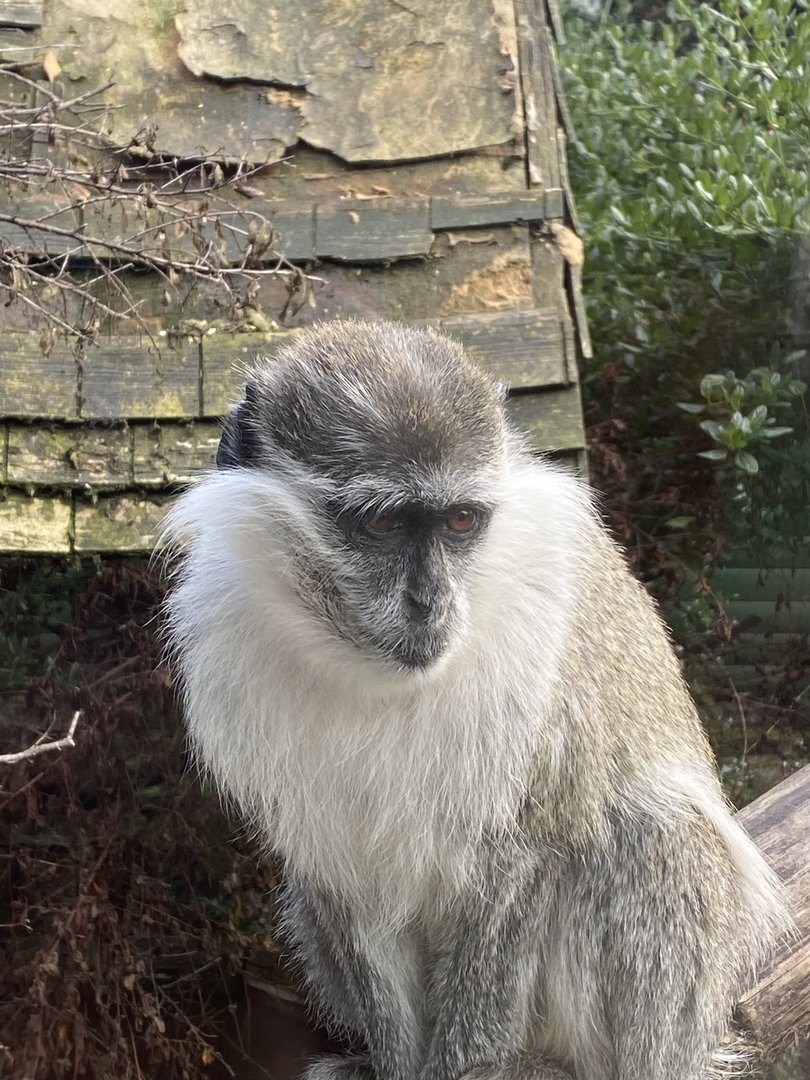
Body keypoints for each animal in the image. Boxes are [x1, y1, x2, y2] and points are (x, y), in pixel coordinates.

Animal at [162, 319, 788, 1080]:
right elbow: (340, 867)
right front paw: (393, 1066)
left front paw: (463, 1069)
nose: (431, 603)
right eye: (381, 525)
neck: (362, 664)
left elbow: (525, 852)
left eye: (461, 522)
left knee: (647, 829)